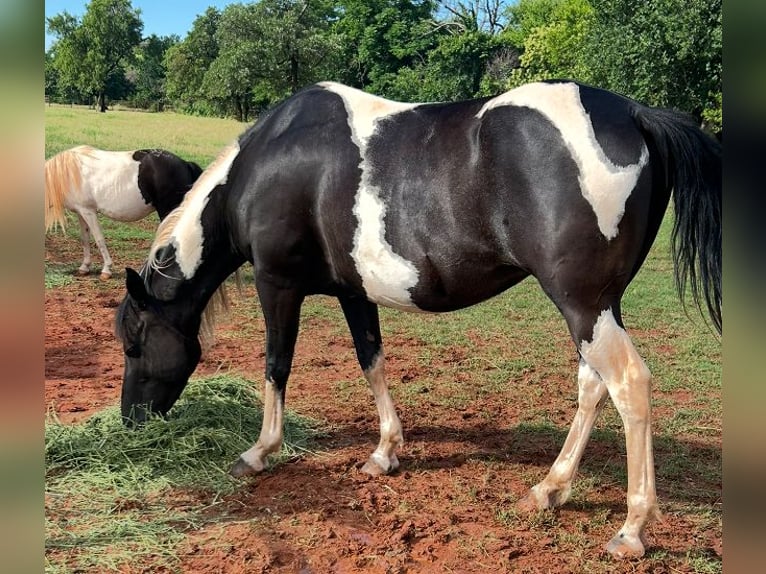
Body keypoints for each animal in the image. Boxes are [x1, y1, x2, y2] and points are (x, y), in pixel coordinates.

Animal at [45, 145, 203, 279]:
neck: (69, 172)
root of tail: (185, 164)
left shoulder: (89, 212)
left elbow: (99, 239)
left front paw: (106, 270)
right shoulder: (81, 212)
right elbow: (85, 239)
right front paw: (84, 267)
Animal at [115, 80, 721, 558]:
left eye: (133, 342)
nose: (130, 422)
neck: (267, 163)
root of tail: (635, 114)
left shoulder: (277, 284)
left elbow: (276, 364)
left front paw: (260, 451)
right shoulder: (352, 291)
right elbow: (371, 360)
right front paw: (385, 451)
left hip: (582, 304)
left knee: (629, 384)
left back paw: (632, 529)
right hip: (599, 307)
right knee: (593, 387)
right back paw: (549, 488)